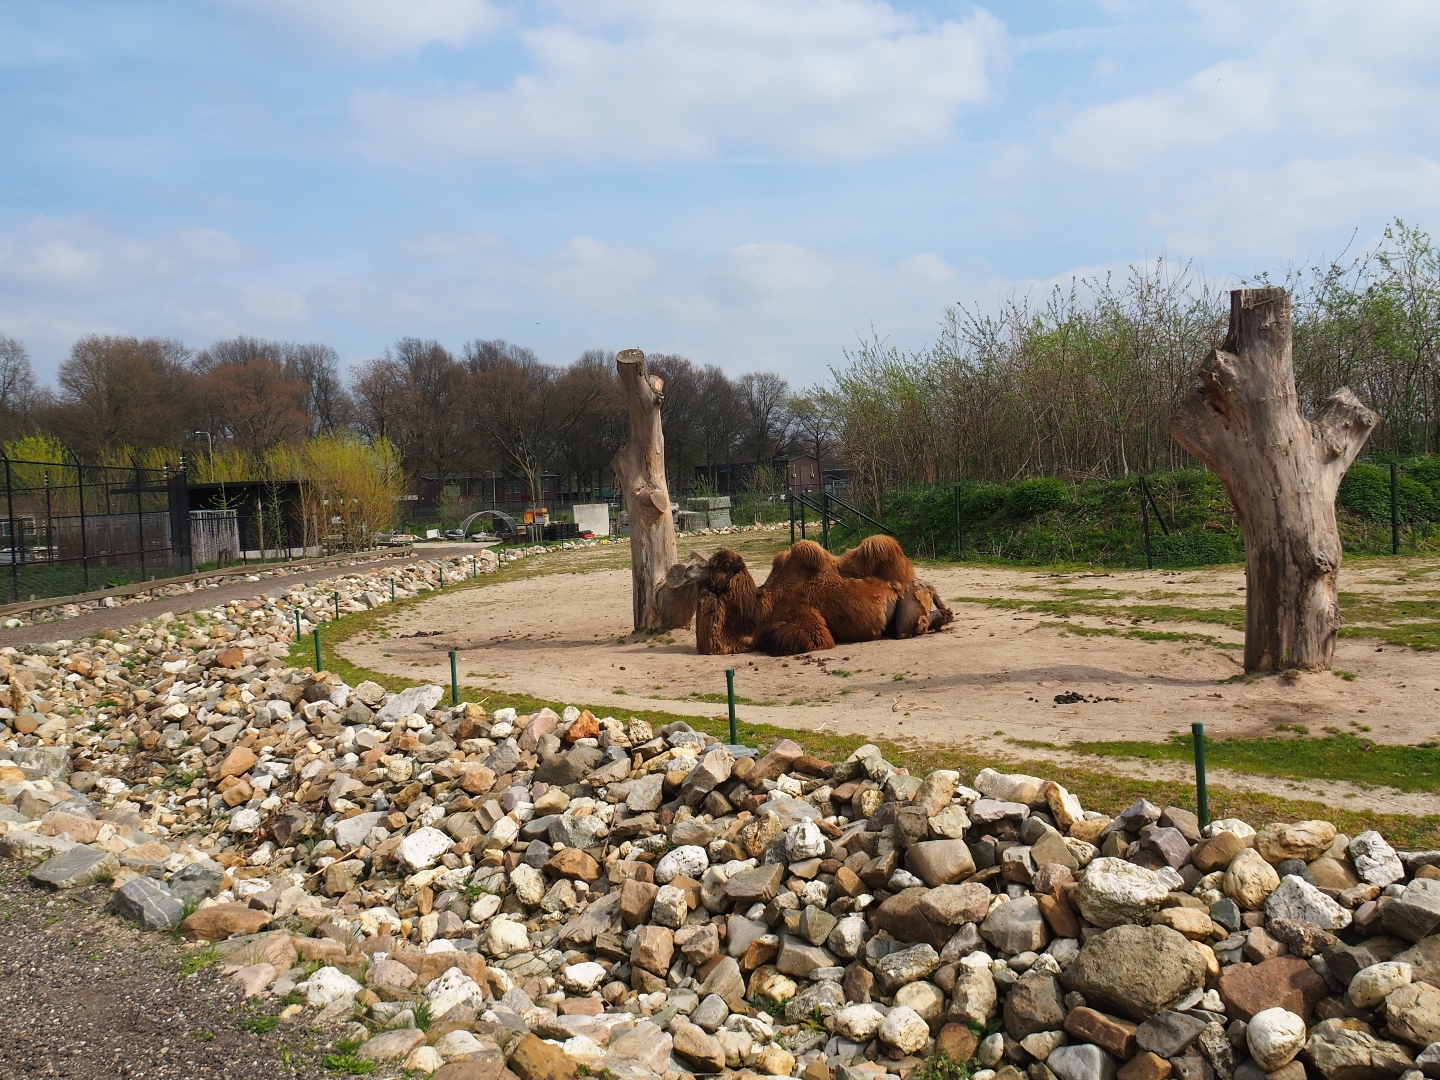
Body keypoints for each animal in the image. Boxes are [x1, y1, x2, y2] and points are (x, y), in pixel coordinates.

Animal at [680, 535, 953, 655]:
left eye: (718, 566)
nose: (687, 569)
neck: (759, 609)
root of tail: (922, 583)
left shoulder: (807, 622)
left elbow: (781, 636)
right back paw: (945, 616)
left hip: (909, 603)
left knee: (908, 627)